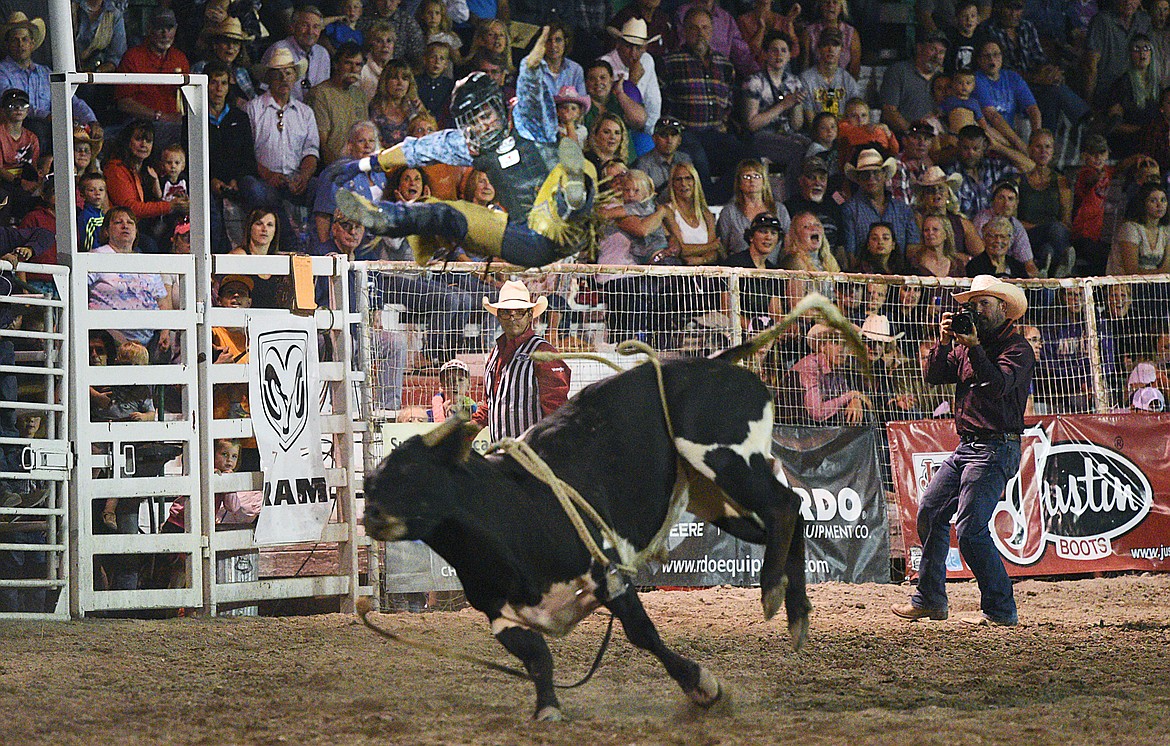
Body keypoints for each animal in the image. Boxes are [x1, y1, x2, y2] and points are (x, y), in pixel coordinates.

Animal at [365, 346, 823, 724]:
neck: (512, 511)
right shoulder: (501, 615)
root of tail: (716, 364)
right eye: (369, 483)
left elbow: (643, 634)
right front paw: (547, 707)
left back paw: (771, 589)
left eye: (411, 471)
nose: (371, 514)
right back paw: (797, 613)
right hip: (718, 501)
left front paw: (703, 687)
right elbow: (537, 658)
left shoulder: (608, 574)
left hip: (729, 463)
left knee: (785, 506)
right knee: (793, 522)